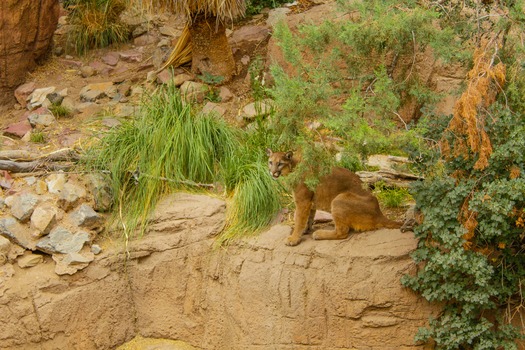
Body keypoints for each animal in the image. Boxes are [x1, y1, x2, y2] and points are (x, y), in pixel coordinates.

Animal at [266, 148, 402, 246]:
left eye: (280, 164)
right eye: (270, 162)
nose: (272, 172)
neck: (292, 168)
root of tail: (379, 212)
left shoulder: (303, 201)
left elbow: (299, 219)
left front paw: (293, 239)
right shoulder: (310, 202)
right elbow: (309, 217)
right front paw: (305, 230)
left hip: (338, 200)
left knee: (342, 232)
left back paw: (319, 234)